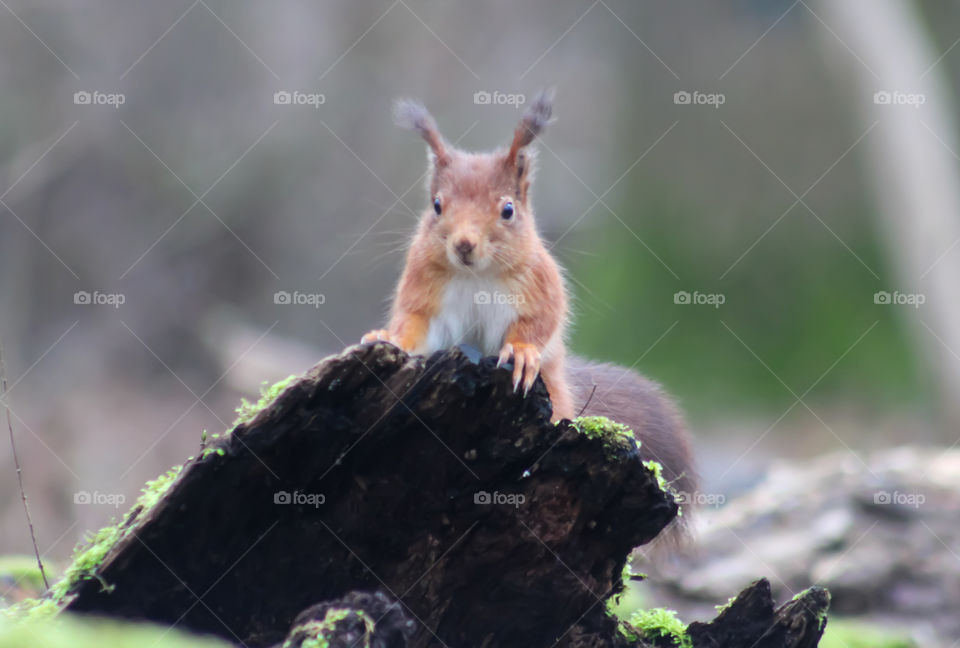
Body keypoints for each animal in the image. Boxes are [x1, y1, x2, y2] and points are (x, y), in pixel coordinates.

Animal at [362, 92, 698, 531]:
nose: (464, 245)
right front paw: (385, 337)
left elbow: (539, 323)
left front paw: (522, 353)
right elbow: (414, 325)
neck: (476, 275)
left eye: (508, 210)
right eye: (436, 206)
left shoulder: (541, 286)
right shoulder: (424, 290)